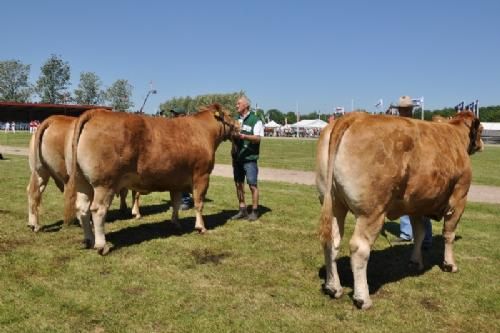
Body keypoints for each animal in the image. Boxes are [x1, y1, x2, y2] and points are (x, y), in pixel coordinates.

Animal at [63, 102, 239, 253]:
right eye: (230, 114)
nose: (238, 125)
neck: (203, 132)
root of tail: (96, 113)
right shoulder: (202, 175)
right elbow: (199, 203)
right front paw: (201, 227)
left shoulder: (176, 181)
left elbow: (176, 203)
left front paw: (175, 222)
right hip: (104, 183)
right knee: (98, 209)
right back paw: (101, 245)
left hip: (82, 181)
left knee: (82, 208)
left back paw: (89, 239)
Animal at [316, 110, 484, 308]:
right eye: (481, 129)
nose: (481, 144)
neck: (456, 134)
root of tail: (355, 116)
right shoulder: (459, 198)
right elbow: (448, 234)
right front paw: (450, 265)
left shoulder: (416, 204)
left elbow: (419, 233)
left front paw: (415, 261)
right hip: (371, 211)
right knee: (359, 248)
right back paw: (362, 298)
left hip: (334, 204)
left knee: (331, 242)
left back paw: (333, 287)